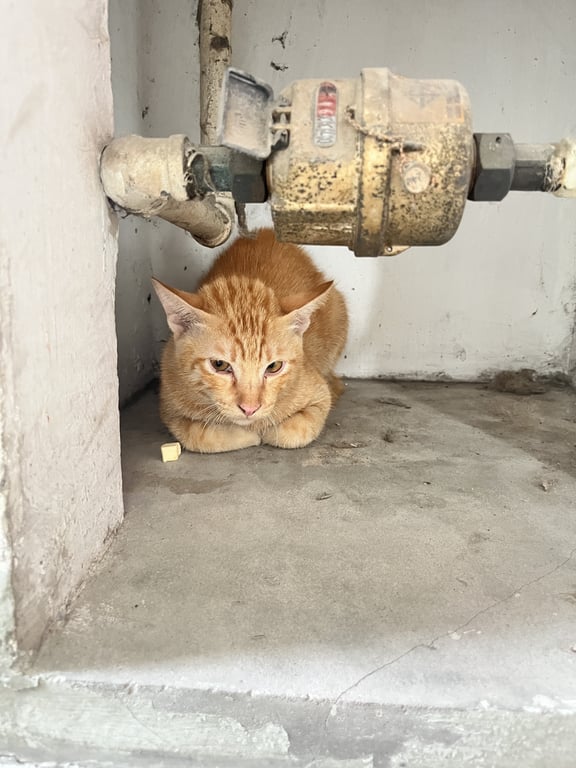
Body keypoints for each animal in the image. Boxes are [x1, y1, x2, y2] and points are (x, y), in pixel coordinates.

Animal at [152, 229, 348, 453]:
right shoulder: (169, 408)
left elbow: (295, 431)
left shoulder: (319, 396)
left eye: (274, 367)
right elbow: (199, 435)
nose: (250, 409)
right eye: (219, 365)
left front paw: (266, 430)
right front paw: (247, 435)